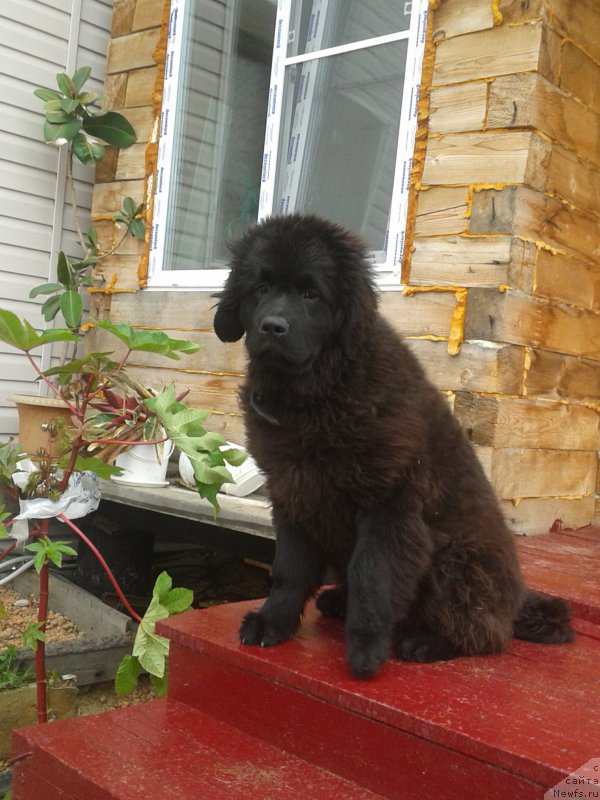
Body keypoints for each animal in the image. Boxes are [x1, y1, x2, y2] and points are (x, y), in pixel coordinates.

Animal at [213, 216, 576, 680]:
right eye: (259, 288)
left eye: (312, 294)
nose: (273, 327)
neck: (317, 395)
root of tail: (516, 599)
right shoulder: (293, 494)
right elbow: (289, 571)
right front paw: (272, 622)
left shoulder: (389, 506)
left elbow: (372, 577)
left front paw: (366, 651)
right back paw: (337, 601)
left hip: (456, 559)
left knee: (487, 635)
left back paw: (426, 641)